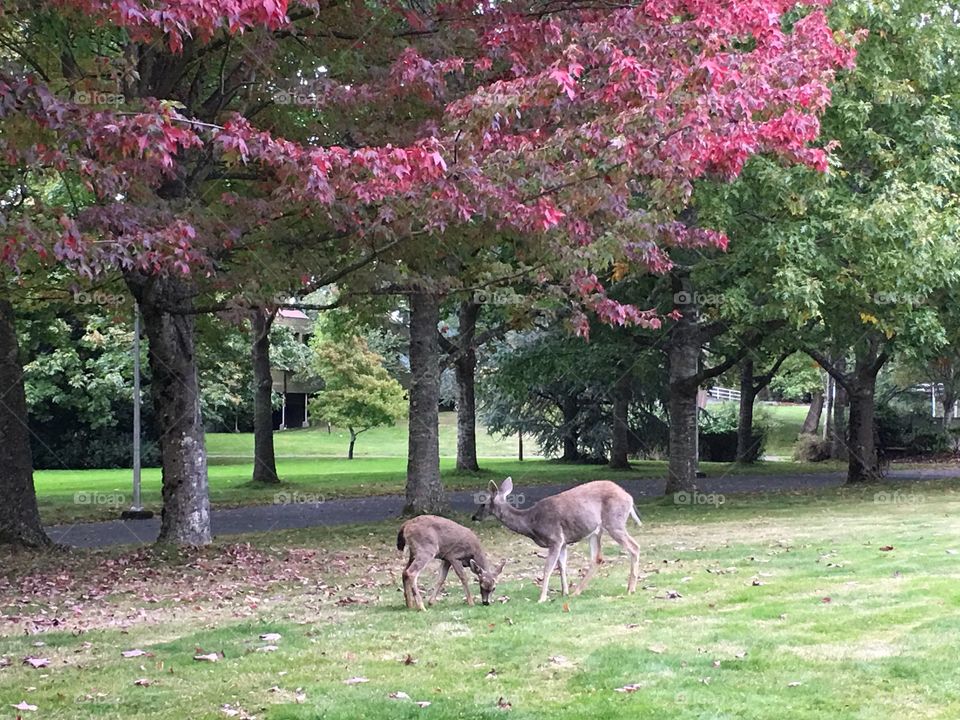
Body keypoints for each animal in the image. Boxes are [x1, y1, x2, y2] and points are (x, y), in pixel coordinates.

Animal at [474, 478, 640, 600]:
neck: (531, 522)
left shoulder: (555, 538)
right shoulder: (564, 542)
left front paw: (542, 598)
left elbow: (548, 568)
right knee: (597, 558)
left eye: (483, 503)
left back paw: (630, 589)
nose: (474, 517)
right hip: (595, 532)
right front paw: (564, 592)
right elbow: (562, 566)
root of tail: (630, 498)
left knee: (634, 547)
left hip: (614, 522)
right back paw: (576, 592)